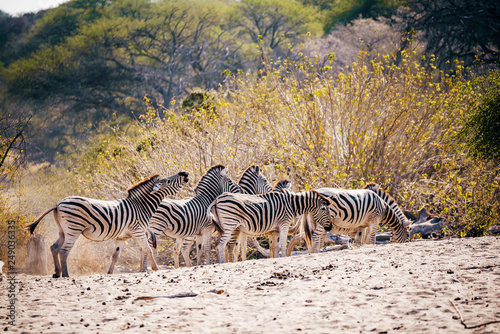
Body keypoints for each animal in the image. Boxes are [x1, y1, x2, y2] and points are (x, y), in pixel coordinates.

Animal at [26, 172, 189, 276]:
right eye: (168, 181)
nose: (185, 173)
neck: (141, 205)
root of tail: (58, 203)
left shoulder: (122, 237)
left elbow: (115, 255)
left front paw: (109, 273)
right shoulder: (138, 231)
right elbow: (148, 250)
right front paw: (155, 269)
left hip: (63, 230)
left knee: (54, 247)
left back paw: (57, 273)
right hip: (73, 229)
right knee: (64, 251)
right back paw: (65, 275)